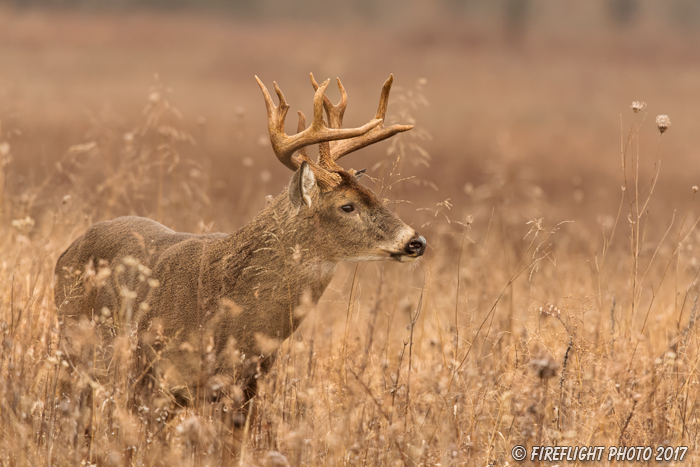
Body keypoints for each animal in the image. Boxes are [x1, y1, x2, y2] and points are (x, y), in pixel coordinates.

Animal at [54, 72, 424, 406]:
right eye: (347, 206)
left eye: (374, 194)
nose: (415, 241)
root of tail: (64, 253)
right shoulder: (148, 371)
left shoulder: (247, 384)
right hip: (72, 345)